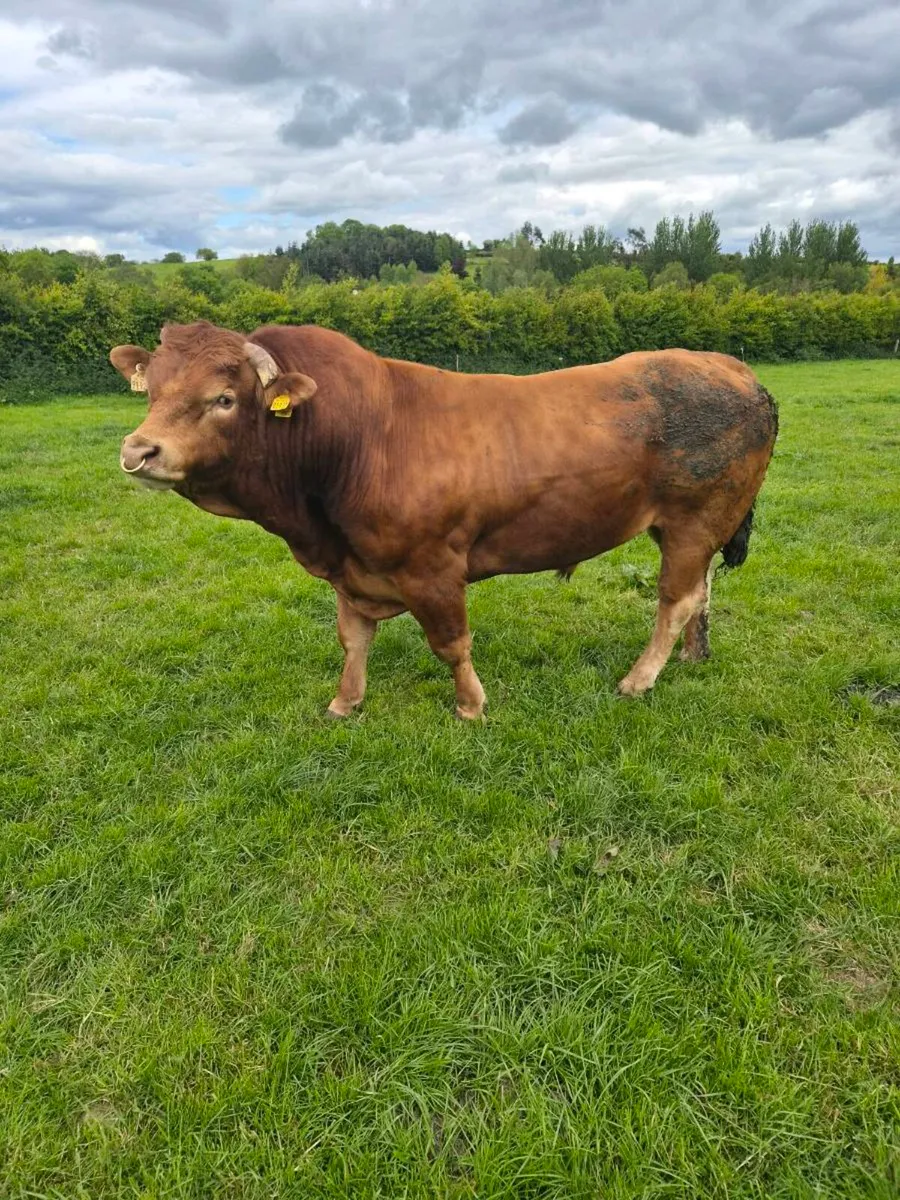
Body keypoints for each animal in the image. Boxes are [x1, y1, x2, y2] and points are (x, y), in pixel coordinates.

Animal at [110, 321, 778, 720]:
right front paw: (345, 702)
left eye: (224, 398)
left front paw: (471, 706)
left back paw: (640, 679)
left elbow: (451, 643)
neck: (356, 438)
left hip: (695, 519)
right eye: (153, 391)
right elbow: (354, 638)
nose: (139, 450)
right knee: (702, 592)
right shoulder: (352, 566)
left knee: (677, 598)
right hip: (694, 527)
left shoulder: (432, 567)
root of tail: (734, 368)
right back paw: (693, 656)